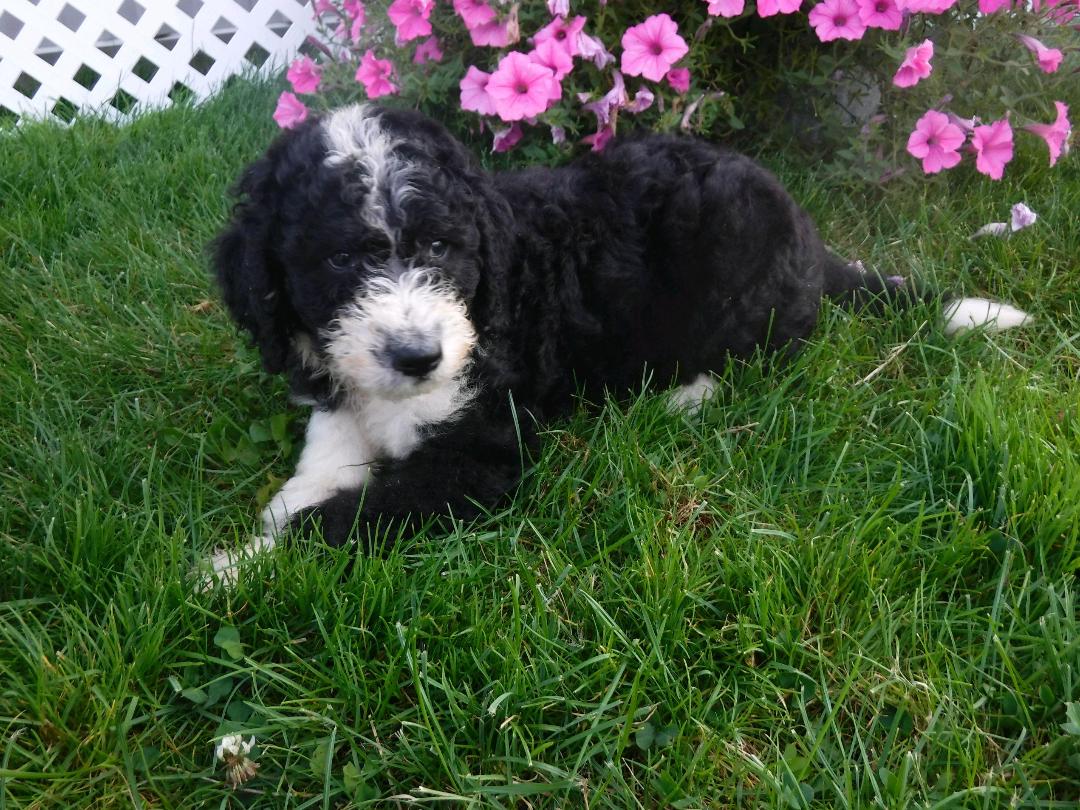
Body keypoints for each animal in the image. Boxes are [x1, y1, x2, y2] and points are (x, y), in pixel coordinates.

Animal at [208, 103, 1028, 583]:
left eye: (441, 246)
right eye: (341, 259)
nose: (417, 358)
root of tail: (811, 241)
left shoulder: (480, 456)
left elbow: (345, 518)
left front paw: (229, 570)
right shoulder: (342, 399)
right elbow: (313, 475)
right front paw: (262, 531)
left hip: (734, 267)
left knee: (765, 352)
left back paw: (682, 396)